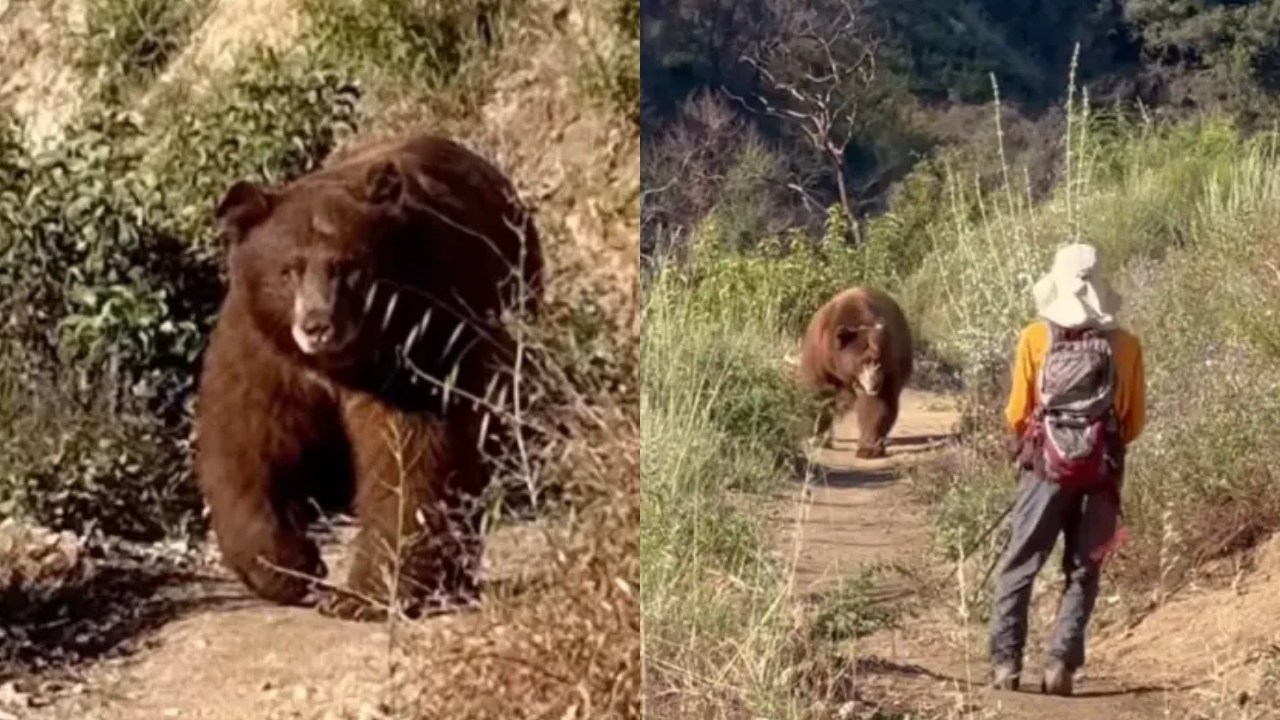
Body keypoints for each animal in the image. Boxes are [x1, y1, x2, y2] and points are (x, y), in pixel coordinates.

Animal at [193, 132, 543, 621]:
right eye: (289, 269)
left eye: (349, 268)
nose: (318, 325)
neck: (338, 363)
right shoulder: (262, 348)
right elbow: (245, 442)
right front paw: (289, 567)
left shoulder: (419, 338)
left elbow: (411, 455)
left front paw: (364, 593)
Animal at [796, 285, 914, 459]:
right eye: (864, 361)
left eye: (878, 361)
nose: (874, 384)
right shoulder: (819, 354)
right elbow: (819, 393)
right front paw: (816, 437)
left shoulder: (887, 368)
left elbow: (876, 404)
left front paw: (869, 448)